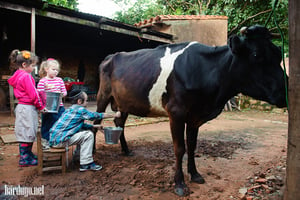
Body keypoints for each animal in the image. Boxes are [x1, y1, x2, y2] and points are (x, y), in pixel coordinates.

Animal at [95, 24, 288, 195]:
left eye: (279, 55)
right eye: (256, 54)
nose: (284, 92)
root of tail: (111, 55)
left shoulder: (195, 116)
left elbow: (192, 146)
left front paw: (195, 175)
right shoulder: (176, 112)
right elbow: (180, 148)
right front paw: (179, 184)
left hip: (124, 102)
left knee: (119, 122)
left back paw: (126, 150)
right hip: (102, 96)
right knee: (96, 121)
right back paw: (94, 153)